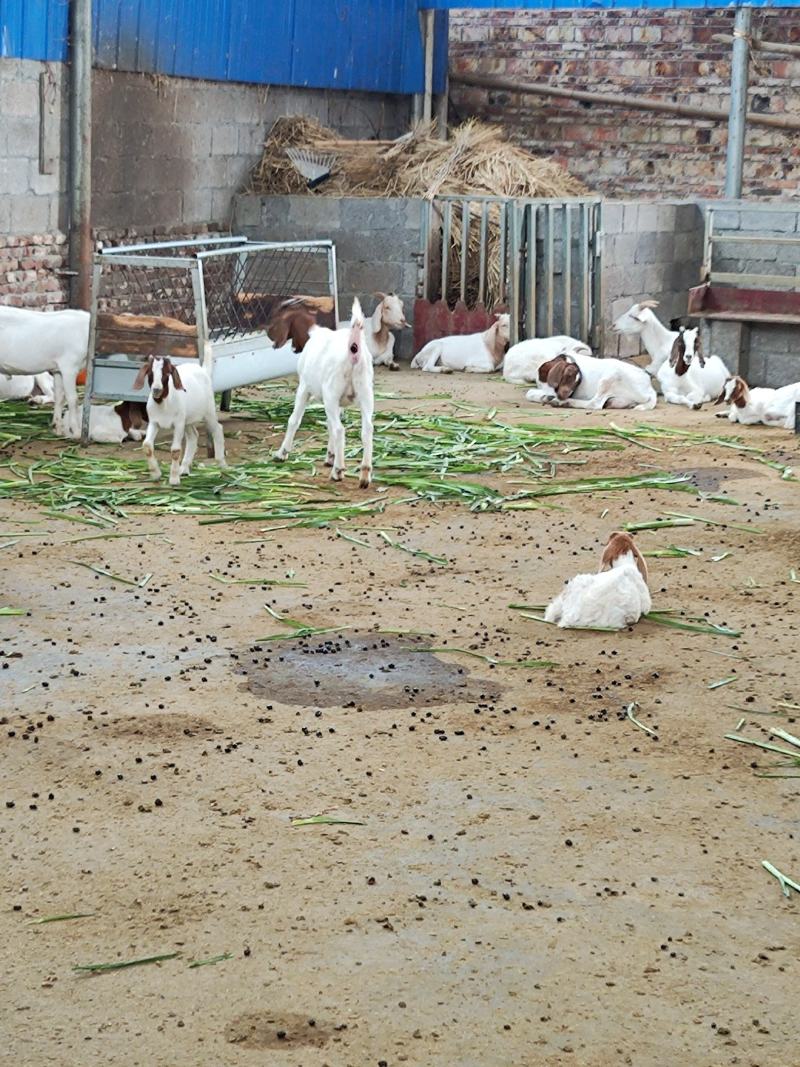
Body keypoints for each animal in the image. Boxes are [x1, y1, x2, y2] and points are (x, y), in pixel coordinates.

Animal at [0, 305, 90, 433]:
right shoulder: (69, 367)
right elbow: (73, 398)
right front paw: (76, 431)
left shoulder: (57, 369)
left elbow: (60, 396)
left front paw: (57, 428)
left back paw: (34, 400)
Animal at [132, 354, 226, 484]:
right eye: (150, 373)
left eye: (167, 373)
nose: (156, 390)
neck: (164, 404)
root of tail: (203, 370)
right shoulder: (154, 422)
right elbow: (147, 445)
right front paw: (156, 474)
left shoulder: (178, 424)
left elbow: (175, 450)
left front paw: (174, 479)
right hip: (188, 420)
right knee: (193, 436)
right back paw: (184, 469)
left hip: (208, 411)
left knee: (217, 429)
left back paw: (222, 464)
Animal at [270, 296, 375, 488]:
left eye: (277, 318)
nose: (270, 336)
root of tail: (353, 348)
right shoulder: (339, 403)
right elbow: (328, 424)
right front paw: (330, 456)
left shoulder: (304, 387)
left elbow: (294, 420)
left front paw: (282, 453)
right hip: (365, 394)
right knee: (366, 430)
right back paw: (364, 474)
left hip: (331, 394)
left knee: (340, 430)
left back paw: (338, 471)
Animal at [526, 349, 657, 407]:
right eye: (567, 377)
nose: (563, 396)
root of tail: (650, 390)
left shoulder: (549, 389)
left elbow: (529, 393)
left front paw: (545, 397)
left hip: (609, 378)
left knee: (594, 404)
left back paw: (564, 402)